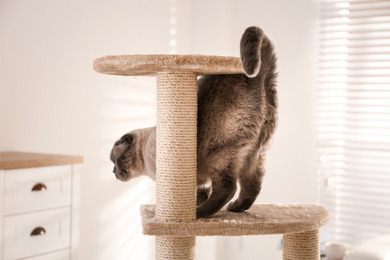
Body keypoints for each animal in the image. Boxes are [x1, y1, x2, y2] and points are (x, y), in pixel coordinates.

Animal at [109, 25, 278, 217]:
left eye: (115, 162)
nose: (113, 172)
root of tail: (257, 78)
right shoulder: (201, 181)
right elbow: (201, 192)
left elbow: (195, 193)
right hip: (253, 156)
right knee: (252, 187)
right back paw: (235, 208)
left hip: (219, 153)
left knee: (227, 188)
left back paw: (200, 213)